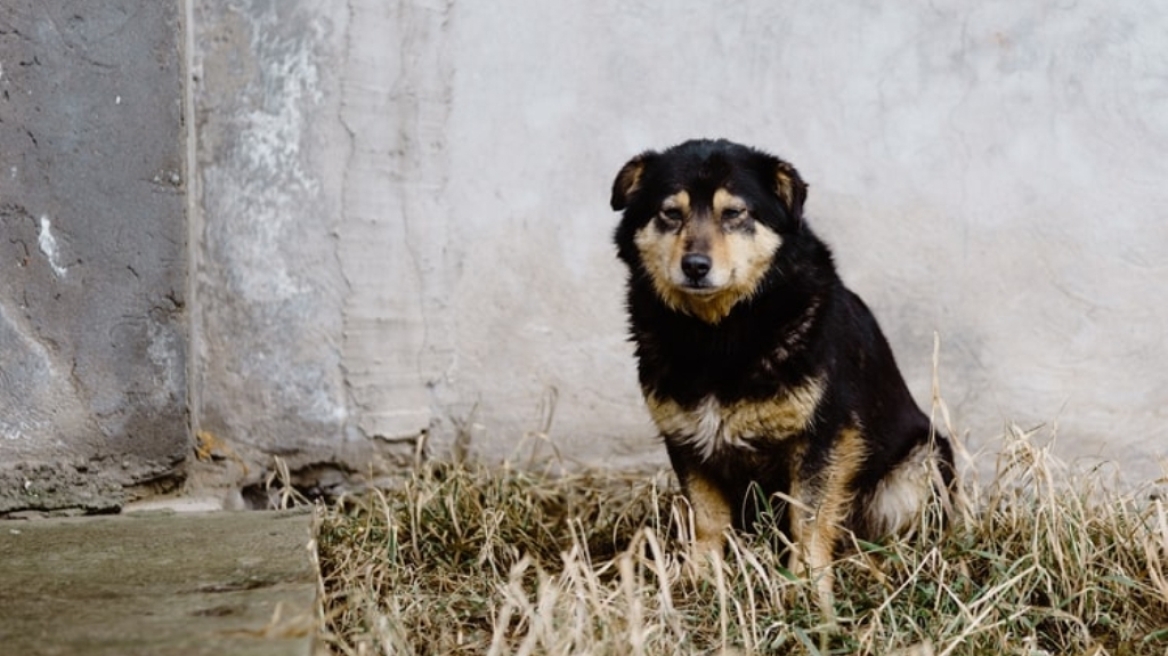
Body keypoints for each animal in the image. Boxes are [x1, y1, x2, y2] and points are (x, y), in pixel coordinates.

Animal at [607, 137, 953, 611]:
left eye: (734, 213)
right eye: (670, 213)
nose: (695, 265)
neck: (718, 333)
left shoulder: (824, 436)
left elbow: (807, 517)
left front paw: (807, 587)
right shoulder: (685, 437)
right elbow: (707, 518)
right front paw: (701, 578)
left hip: (922, 463)